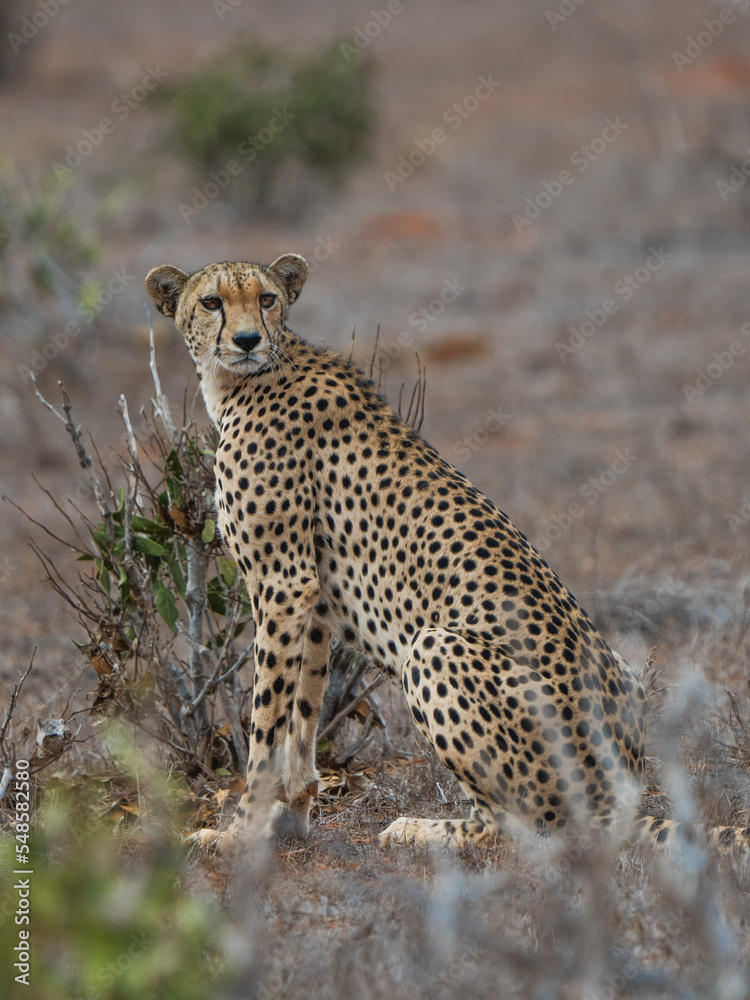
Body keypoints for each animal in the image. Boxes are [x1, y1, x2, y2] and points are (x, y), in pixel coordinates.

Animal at [145, 253, 748, 856]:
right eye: (211, 302)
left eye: (266, 299)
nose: (247, 339)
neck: (246, 378)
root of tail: (617, 798)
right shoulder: (309, 595)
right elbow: (303, 712)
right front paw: (289, 819)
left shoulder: (283, 582)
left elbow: (267, 722)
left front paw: (239, 833)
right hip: (626, 677)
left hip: (434, 648)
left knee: (531, 828)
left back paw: (420, 829)